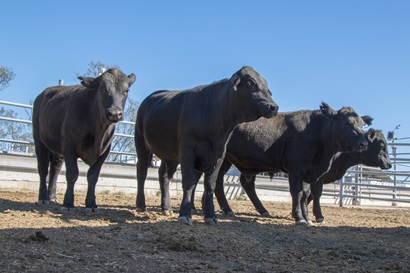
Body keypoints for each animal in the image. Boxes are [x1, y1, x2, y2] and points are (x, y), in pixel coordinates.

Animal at [33, 68, 136, 210]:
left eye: (126, 90)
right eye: (102, 88)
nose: (115, 113)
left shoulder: (104, 151)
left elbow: (93, 176)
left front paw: (91, 204)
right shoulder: (69, 147)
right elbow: (72, 174)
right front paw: (68, 203)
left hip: (58, 149)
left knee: (55, 168)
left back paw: (52, 196)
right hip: (39, 140)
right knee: (43, 169)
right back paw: (43, 198)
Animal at [135, 65, 278, 223]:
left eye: (266, 85)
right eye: (250, 82)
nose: (273, 107)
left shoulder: (219, 154)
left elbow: (210, 185)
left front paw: (210, 216)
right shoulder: (188, 150)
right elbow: (189, 182)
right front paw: (185, 214)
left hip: (170, 155)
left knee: (164, 175)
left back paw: (166, 207)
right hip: (140, 141)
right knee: (142, 171)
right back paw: (141, 205)